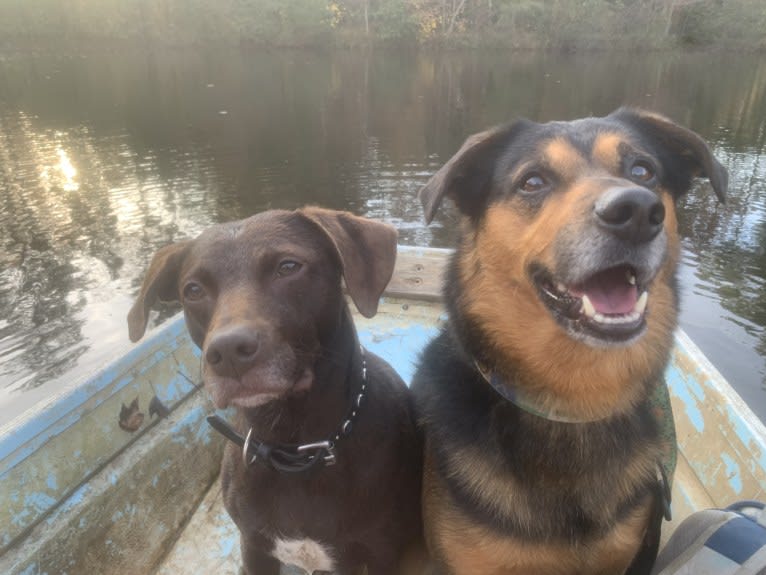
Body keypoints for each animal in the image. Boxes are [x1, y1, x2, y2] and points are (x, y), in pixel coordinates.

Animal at [128, 208, 424, 575]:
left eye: (288, 266)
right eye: (193, 289)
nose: (227, 352)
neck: (294, 446)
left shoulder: (379, 553)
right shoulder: (254, 547)